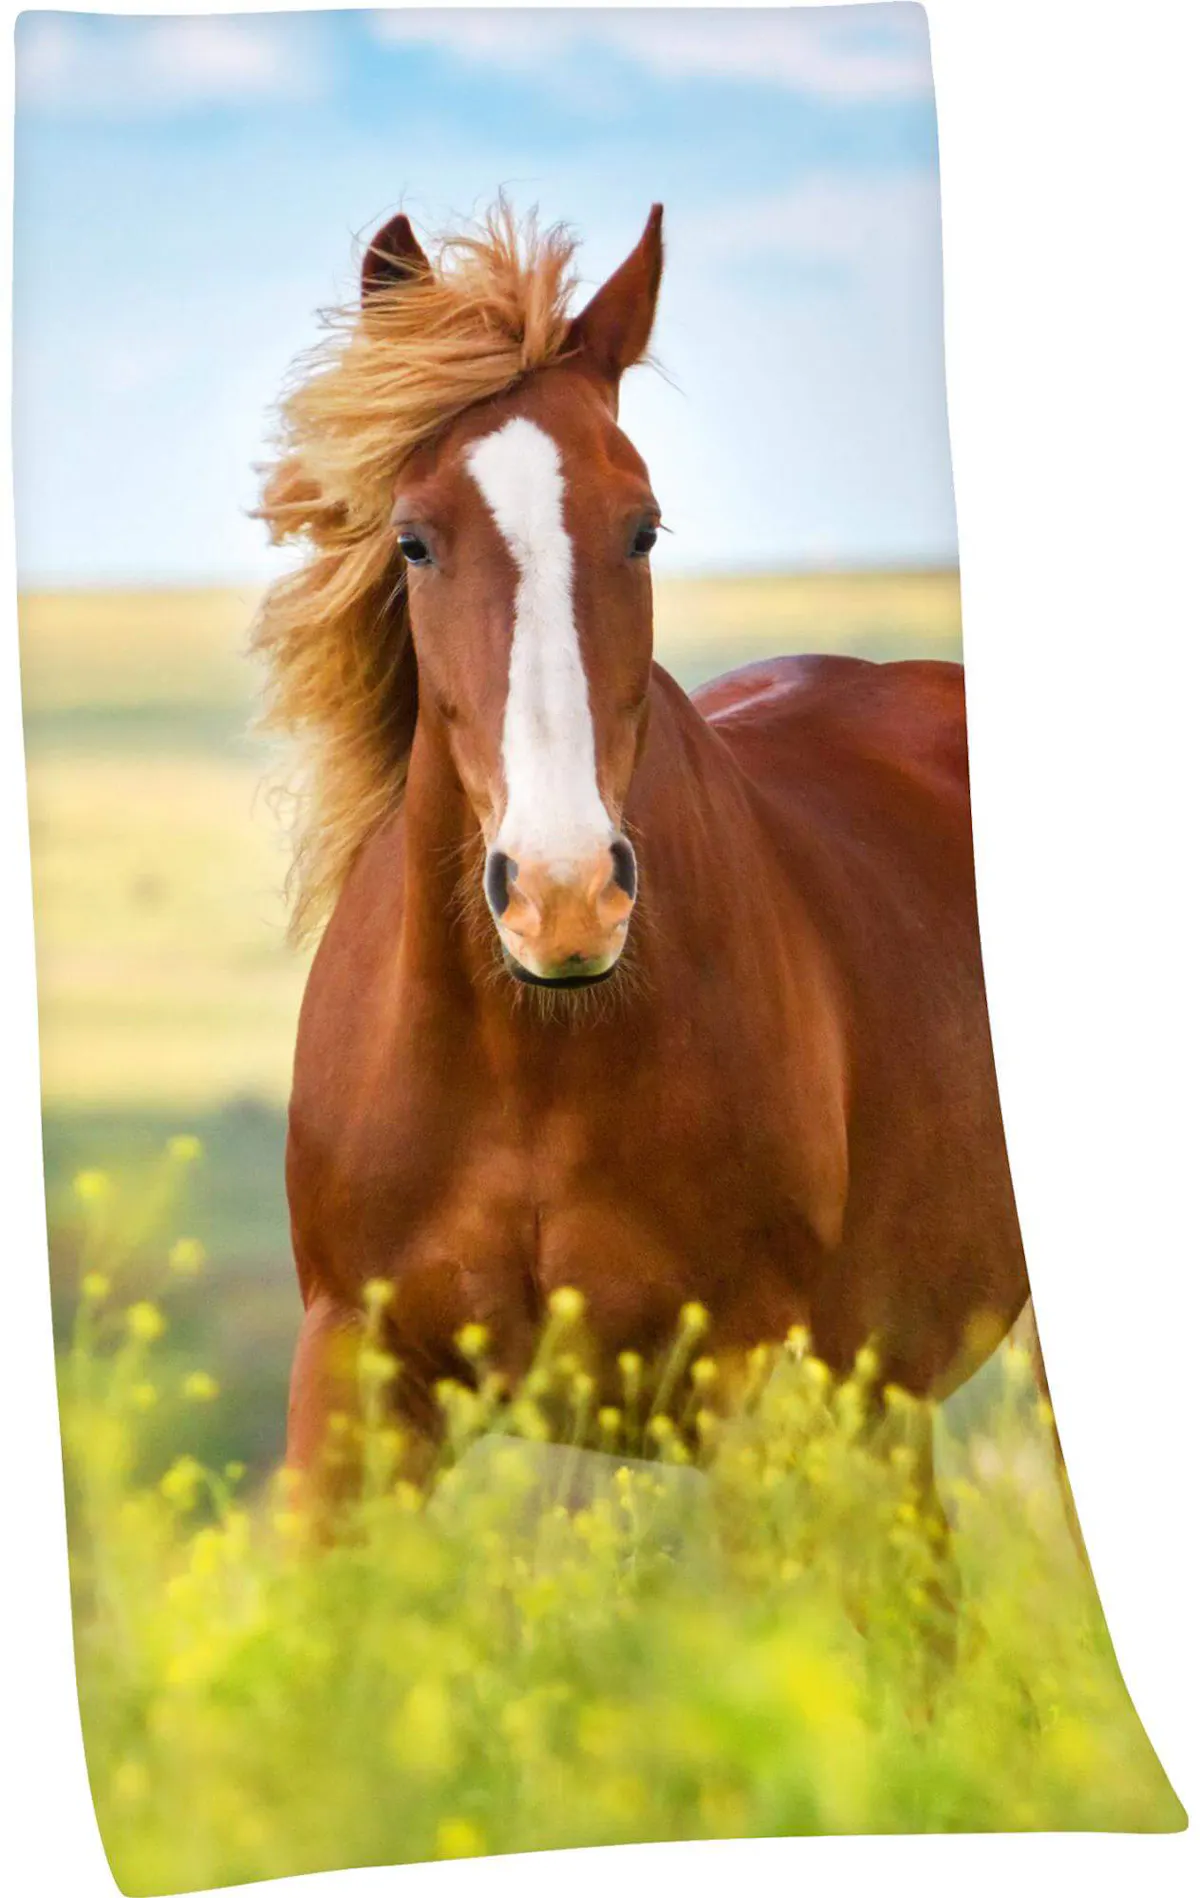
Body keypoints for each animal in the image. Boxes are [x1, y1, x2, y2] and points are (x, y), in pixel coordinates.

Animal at [254, 203, 1031, 1491]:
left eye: (644, 527)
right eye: (413, 541)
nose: (563, 898)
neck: (531, 1061)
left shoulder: (755, 1386)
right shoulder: (351, 1378)